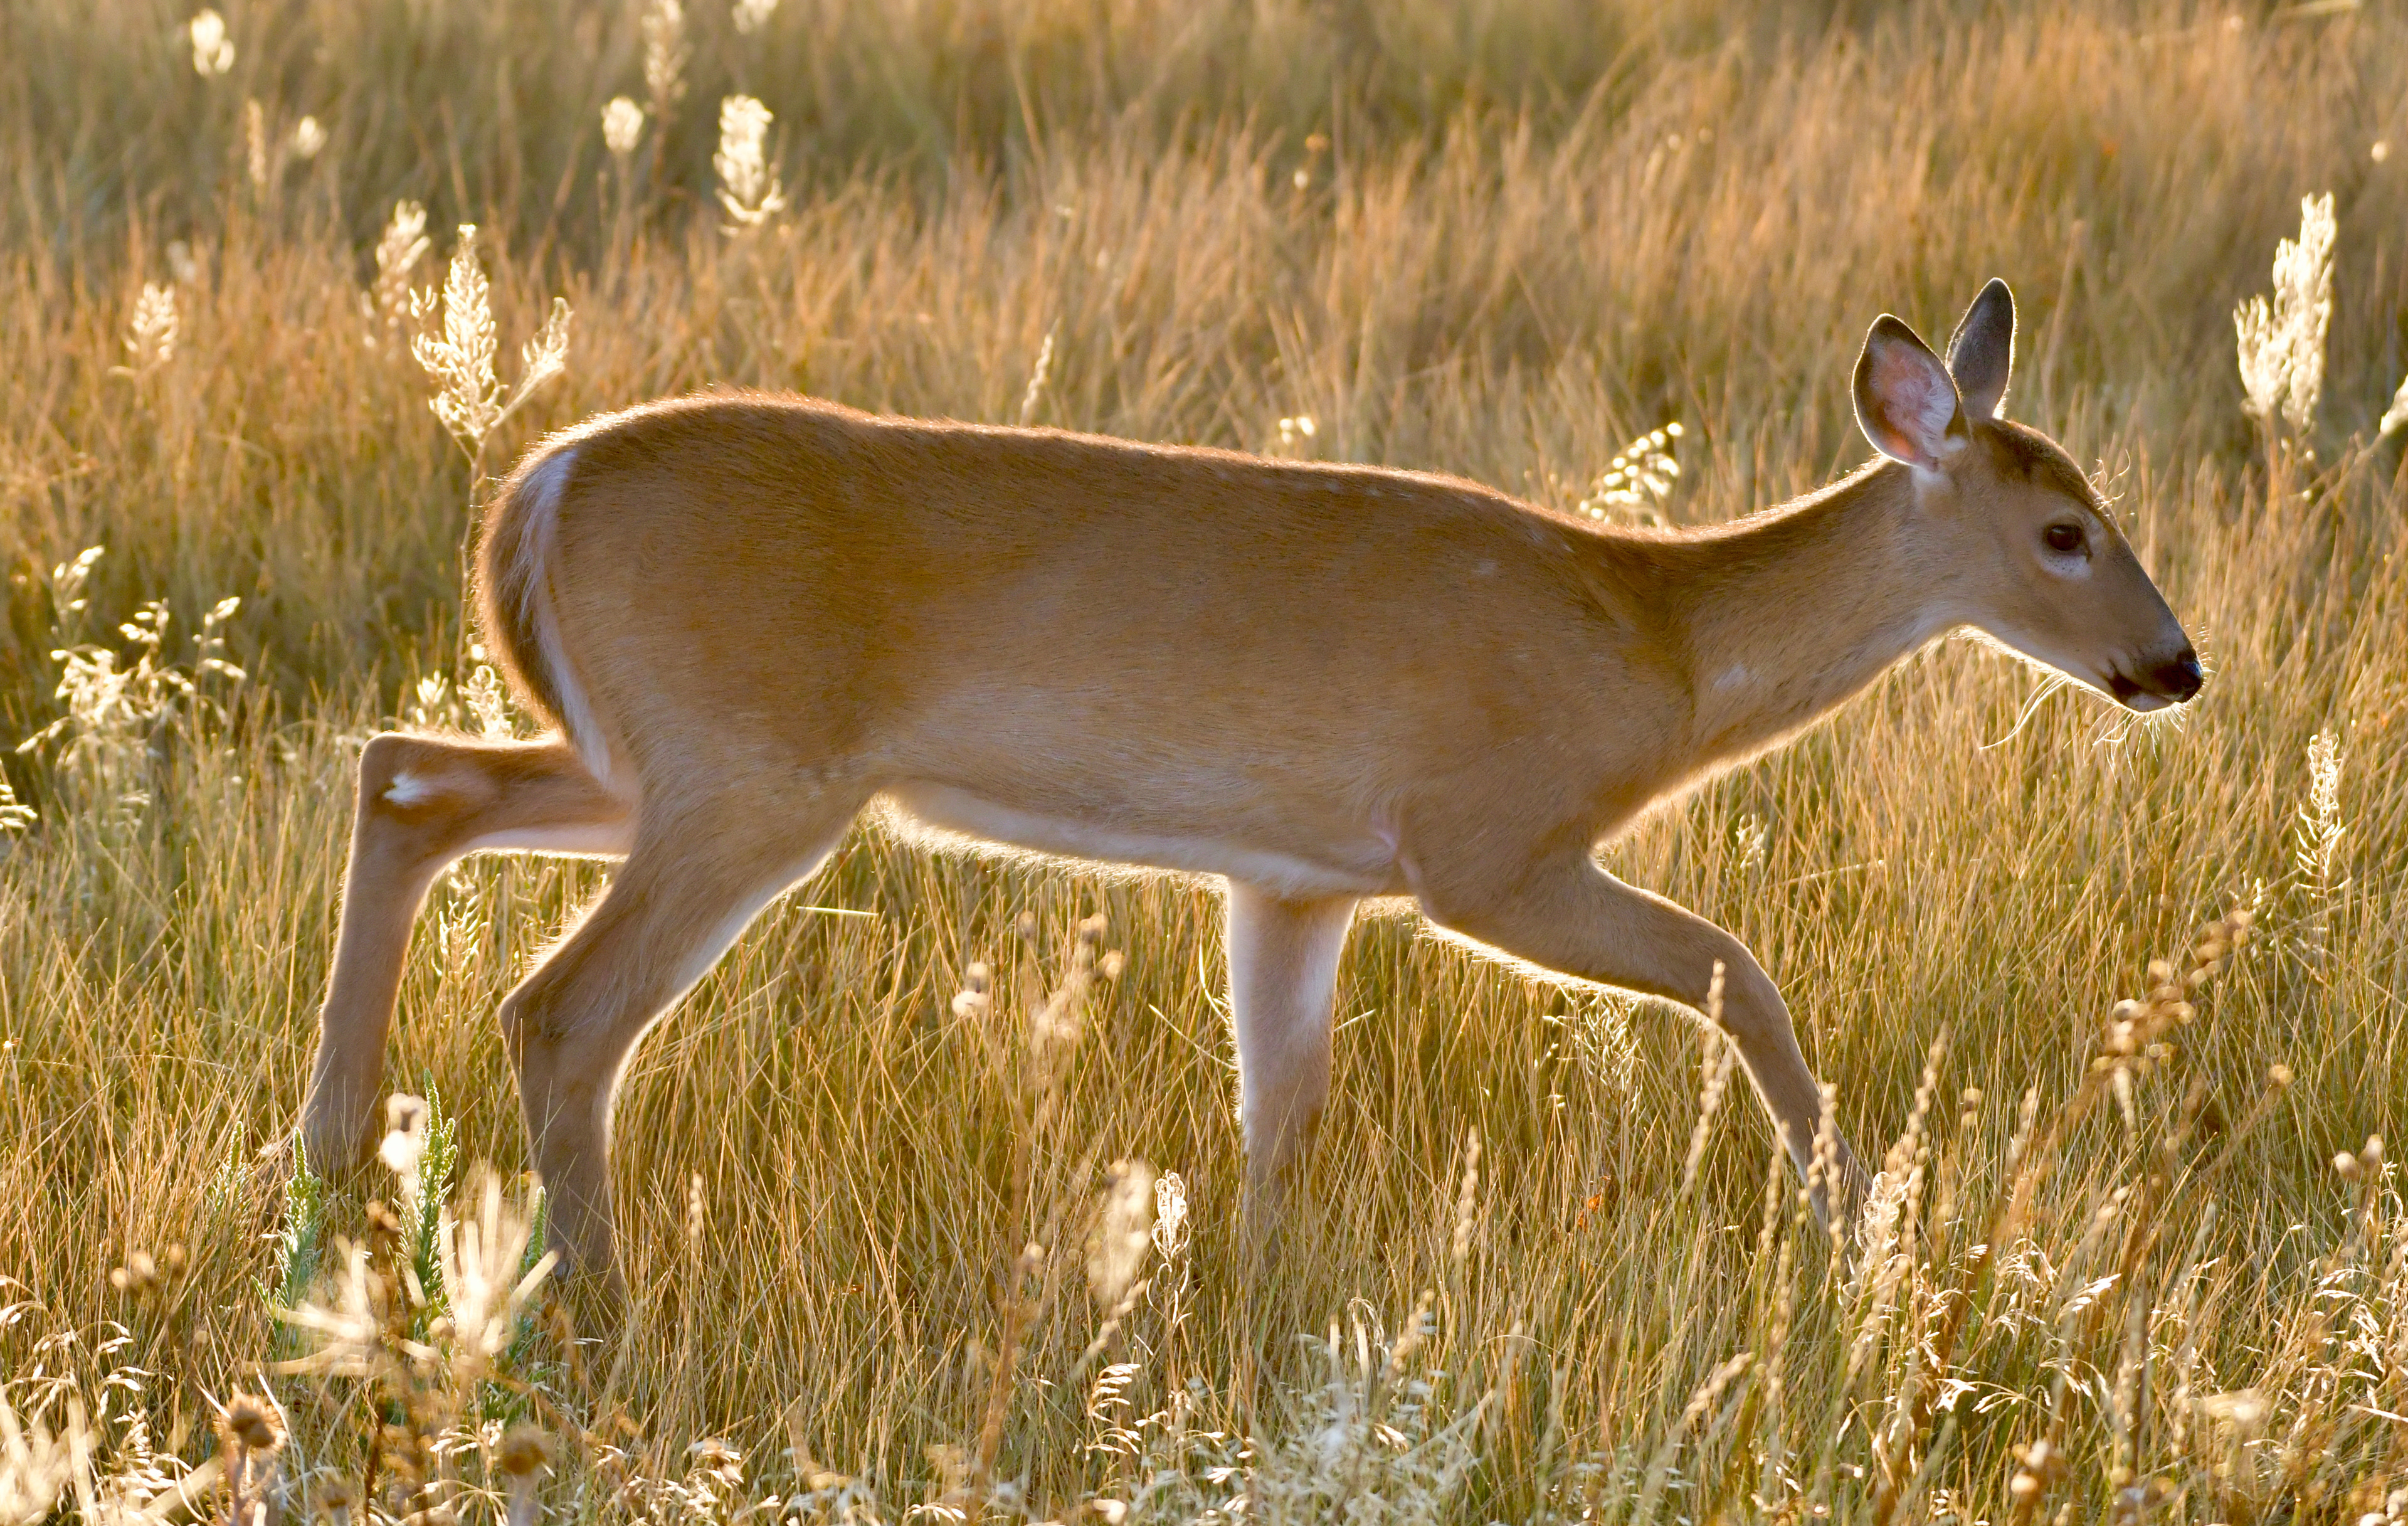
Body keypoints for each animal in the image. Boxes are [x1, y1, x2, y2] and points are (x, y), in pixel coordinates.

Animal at [297, 278, 2204, 1285]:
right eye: (2063, 530)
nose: (2174, 665)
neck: (1653, 644)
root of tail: (533, 493)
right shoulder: (1482, 843)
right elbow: (1742, 967)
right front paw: (1860, 1227)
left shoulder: (1292, 878)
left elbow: (1279, 1116)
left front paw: (1263, 1320)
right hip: (748, 778)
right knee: (555, 1006)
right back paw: (593, 1309)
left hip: (651, 759)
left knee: (409, 780)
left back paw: (323, 1177)